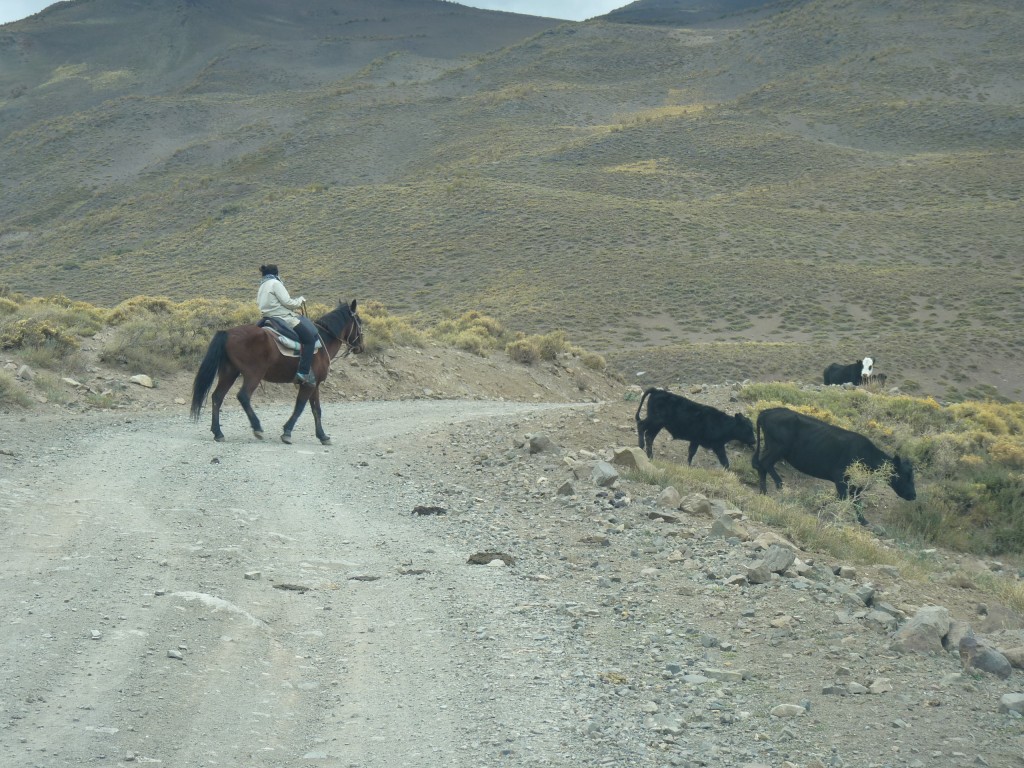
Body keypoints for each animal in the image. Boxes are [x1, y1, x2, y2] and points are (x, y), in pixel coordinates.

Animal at [191, 301, 364, 444]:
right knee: (243, 396)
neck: (322, 342)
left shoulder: (314, 385)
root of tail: (228, 332)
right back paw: (257, 428)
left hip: (229, 373)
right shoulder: (309, 385)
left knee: (217, 397)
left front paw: (322, 436)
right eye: (360, 322)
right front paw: (287, 432)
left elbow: (316, 410)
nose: (361, 347)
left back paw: (218, 433)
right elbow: (300, 407)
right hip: (253, 374)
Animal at [749, 405, 917, 520]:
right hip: (778, 448)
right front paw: (822, 507)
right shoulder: (840, 478)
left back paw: (764, 492)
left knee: (761, 465)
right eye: (905, 476)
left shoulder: (853, 484)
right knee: (765, 464)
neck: (866, 454)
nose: (913, 495)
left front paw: (863, 521)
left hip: (770, 446)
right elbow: (843, 498)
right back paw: (779, 484)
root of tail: (767, 412)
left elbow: (856, 500)